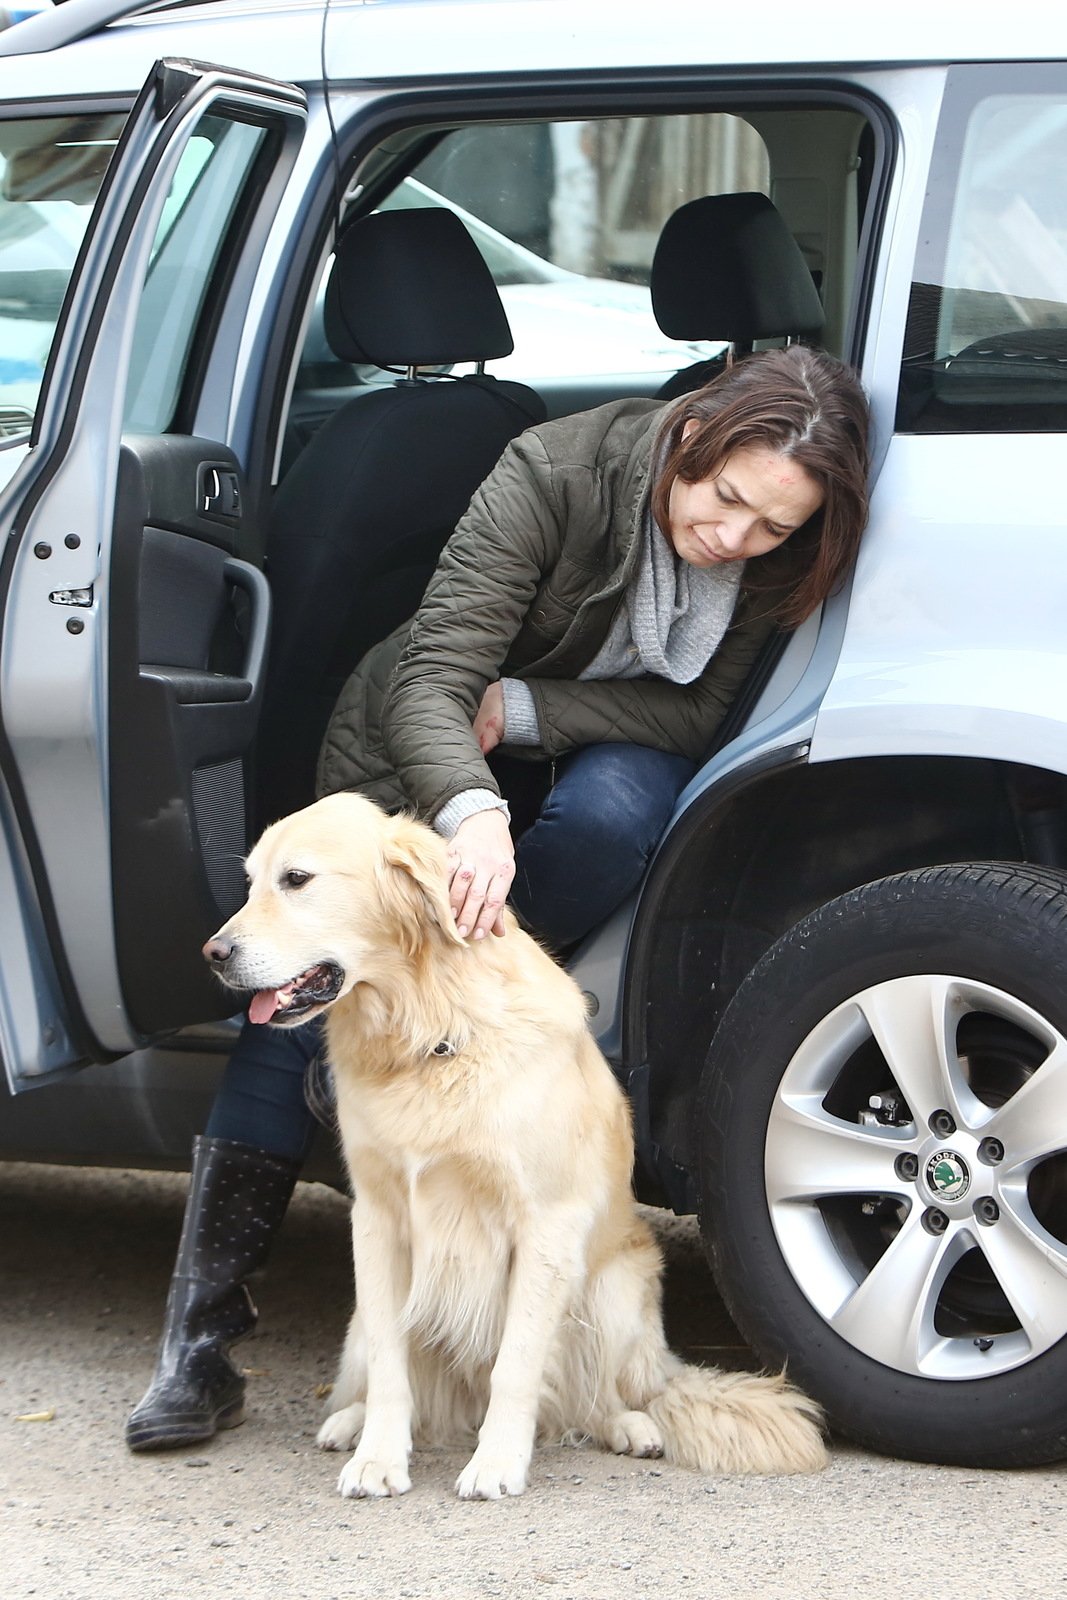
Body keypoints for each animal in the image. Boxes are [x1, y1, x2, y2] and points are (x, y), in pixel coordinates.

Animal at [206, 790, 825, 1497]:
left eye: (297, 879)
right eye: (251, 881)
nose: (213, 952)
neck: (427, 1032)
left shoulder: (544, 1223)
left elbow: (517, 1362)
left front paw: (497, 1461)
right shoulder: (378, 1221)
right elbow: (393, 1366)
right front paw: (379, 1458)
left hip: (613, 1289)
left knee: (595, 1397)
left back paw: (628, 1426)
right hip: (363, 1316)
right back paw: (350, 1424)